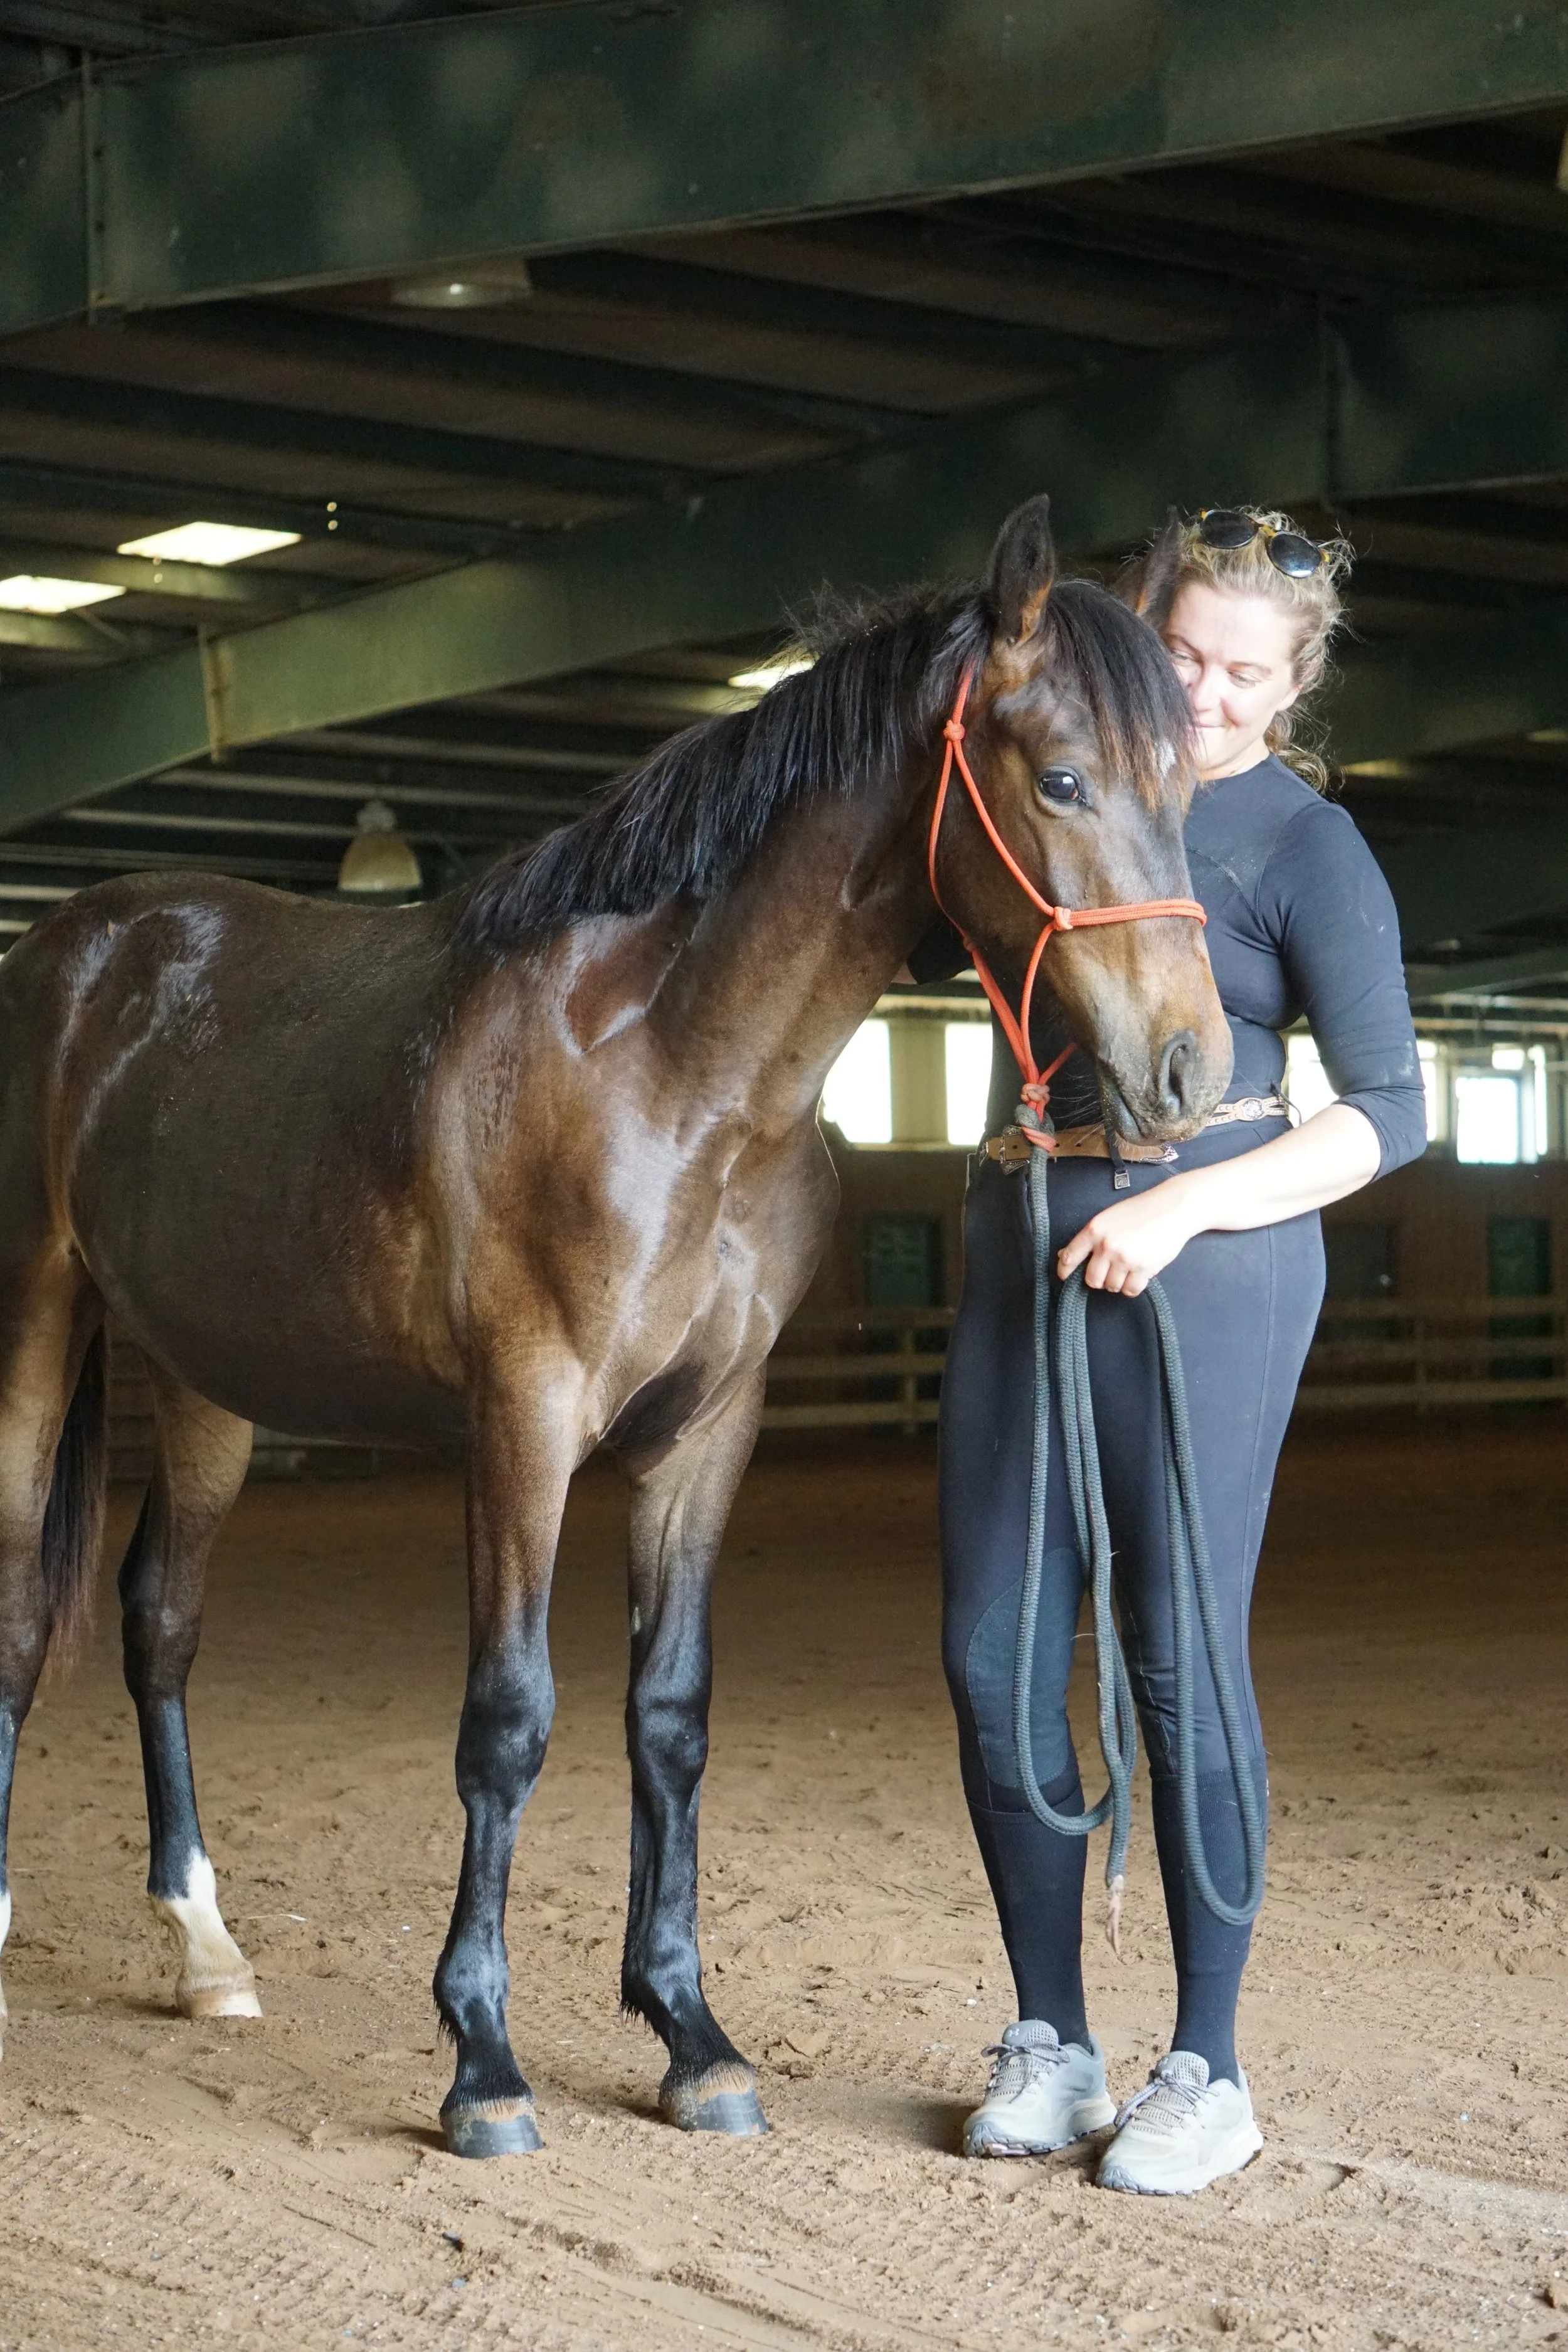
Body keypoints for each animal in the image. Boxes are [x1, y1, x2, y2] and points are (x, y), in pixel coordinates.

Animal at [0, 495, 1231, 2159]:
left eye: (1182, 786)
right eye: (1060, 778)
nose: (1188, 1070)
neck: (671, 1064)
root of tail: (70, 950)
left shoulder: (707, 1432)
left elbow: (668, 1715)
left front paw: (689, 2037)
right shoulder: (523, 1416)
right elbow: (510, 1720)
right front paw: (482, 2064)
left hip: (208, 1380)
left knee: (159, 1617)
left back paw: (206, 1952)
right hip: (31, 1329)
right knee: (19, 1609)